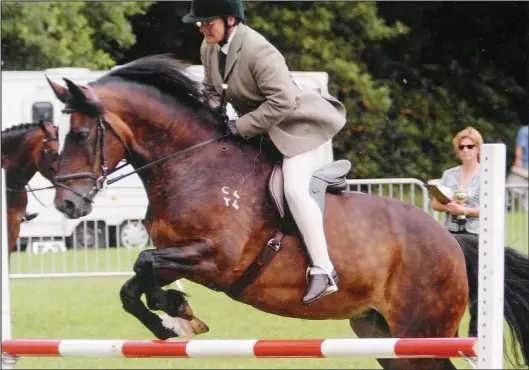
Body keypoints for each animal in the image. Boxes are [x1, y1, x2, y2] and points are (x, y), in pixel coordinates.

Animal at [47, 55, 524, 370]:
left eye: (81, 135)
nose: (66, 203)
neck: (193, 165)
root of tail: (453, 241)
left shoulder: (215, 259)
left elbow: (144, 264)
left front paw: (175, 317)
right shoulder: (178, 255)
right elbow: (136, 283)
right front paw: (176, 317)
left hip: (421, 333)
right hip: (382, 334)